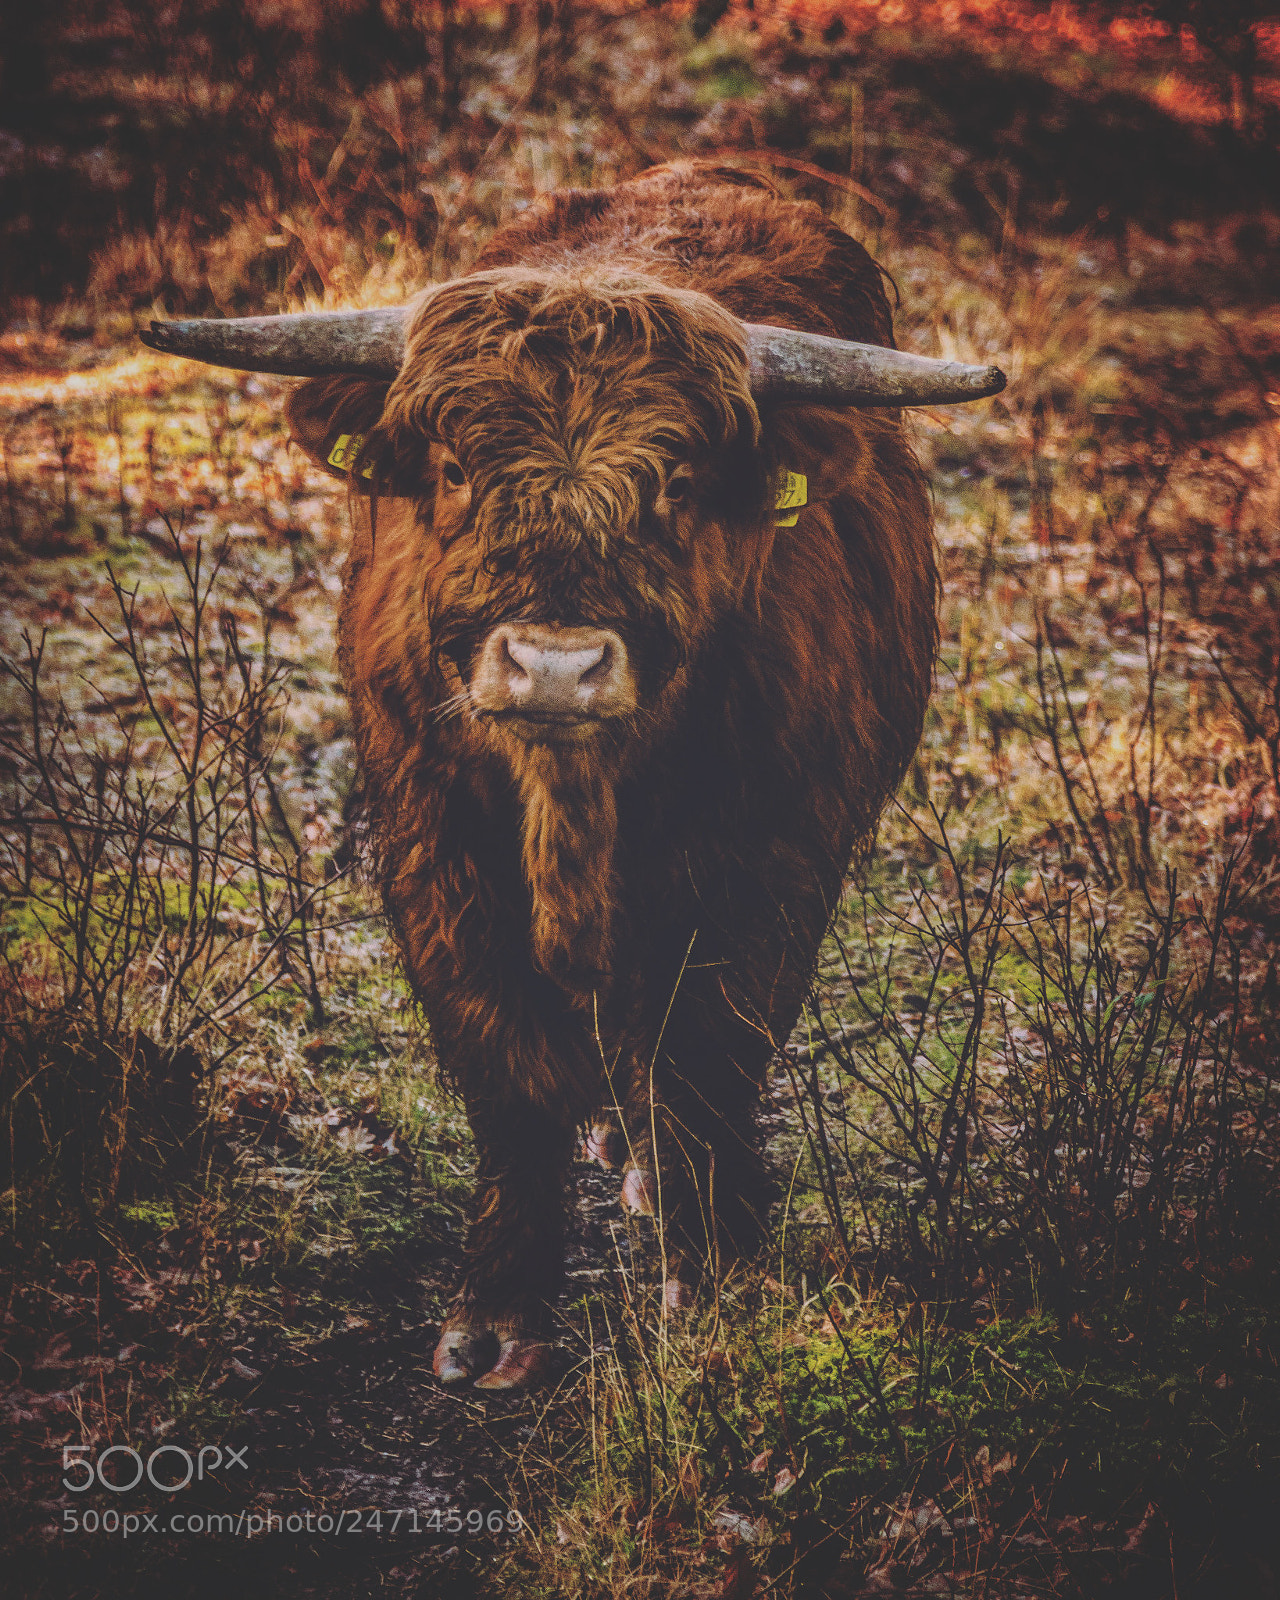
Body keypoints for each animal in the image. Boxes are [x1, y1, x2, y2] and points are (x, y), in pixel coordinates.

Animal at [142, 162, 1003, 1390]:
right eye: (456, 467)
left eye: (676, 481)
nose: (556, 664)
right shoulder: (435, 846)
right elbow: (509, 1067)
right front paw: (498, 1313)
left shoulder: (770, 859)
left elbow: (704, 1054)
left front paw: (707, 1275)